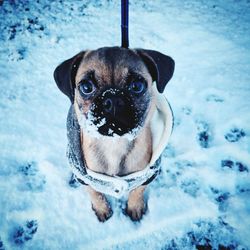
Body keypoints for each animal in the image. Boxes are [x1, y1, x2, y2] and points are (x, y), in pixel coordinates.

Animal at [53, 46, 175, 221]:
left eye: (137, 86)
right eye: (86, 87)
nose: (113, 99)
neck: (114, 143)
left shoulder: (146, 175)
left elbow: (138, 191)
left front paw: (135, 207)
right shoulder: (86, 178)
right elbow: (95, 193)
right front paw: (102, 209)